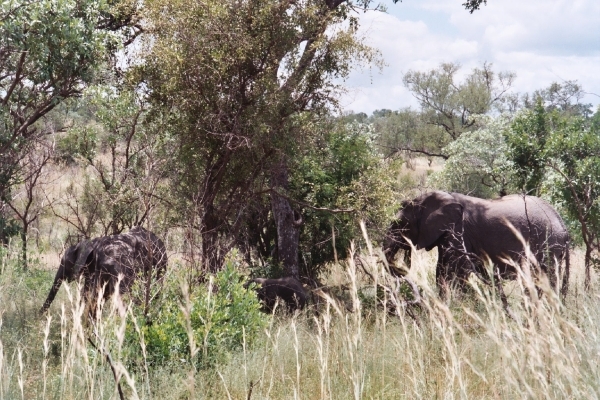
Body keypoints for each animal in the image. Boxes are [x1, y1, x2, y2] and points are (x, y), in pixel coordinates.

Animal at [382, 191, 568, 304]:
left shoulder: (458, 231)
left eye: (399, 223)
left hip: (548, 245)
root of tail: (563, 224)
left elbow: (455, 270)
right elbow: (441, 269)